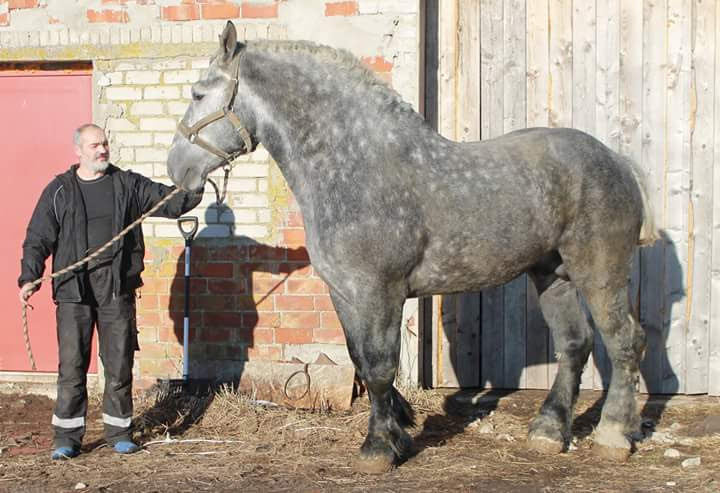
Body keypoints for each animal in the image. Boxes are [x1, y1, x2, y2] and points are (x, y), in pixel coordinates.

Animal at [167, 20, 657, 473]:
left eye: (197, 94)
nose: (176, 171)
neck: (355, 166)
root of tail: (618, 161)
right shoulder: (344, 294)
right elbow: (360, 360)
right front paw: (399, 428)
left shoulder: (380, 292)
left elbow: (380, 367)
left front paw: (379, 448)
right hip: (551, 274)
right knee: (575, 343)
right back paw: (548, 432)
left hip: (600, 273)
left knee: (625, 340)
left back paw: (613, 435)